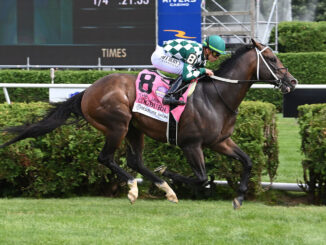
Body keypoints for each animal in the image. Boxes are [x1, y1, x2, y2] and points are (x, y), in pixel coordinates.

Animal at [0, 40, 296, 209]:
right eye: (272, 59)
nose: (292, 82)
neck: (216, 96)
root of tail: (87, 91)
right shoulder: (191, 145)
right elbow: (201, 178)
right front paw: (171, 173)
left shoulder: (220, 141)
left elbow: (247, 161)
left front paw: (239, 197)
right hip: (117, 125)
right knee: (107, 158)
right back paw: (135, 187)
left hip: (135, 128)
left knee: (135, 161)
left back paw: (165, 189)